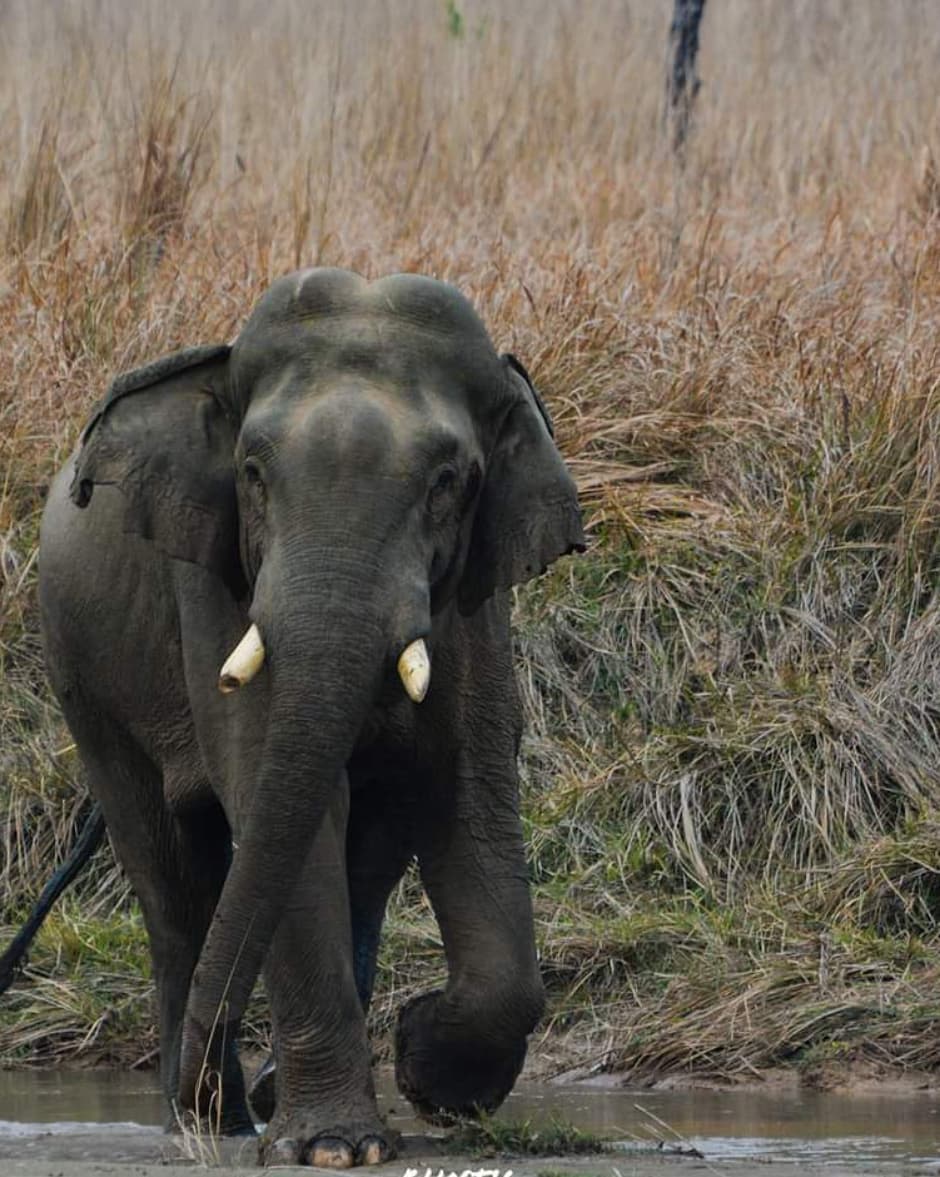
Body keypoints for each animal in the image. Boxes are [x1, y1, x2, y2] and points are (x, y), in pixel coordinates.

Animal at [40, 269, 583, 1167]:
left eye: (448, 481)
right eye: (253, 472)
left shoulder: (476, 606)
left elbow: (468, 791)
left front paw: (424, 1067)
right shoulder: (217, 582)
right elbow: (280, 788)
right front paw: (335, 1146)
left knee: (369, 856)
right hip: (87, 678)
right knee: (172, 879)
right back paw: (208, 1115)